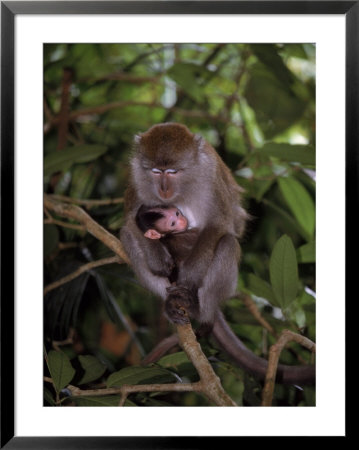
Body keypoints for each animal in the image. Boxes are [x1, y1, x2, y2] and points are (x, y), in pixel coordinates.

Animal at [121, 123, 316, 384]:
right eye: (154, 171)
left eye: (172, 172)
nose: (163, 190)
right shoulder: (136, 177)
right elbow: (131, 220)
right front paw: (157, 258)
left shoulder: (211, 175)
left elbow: (219, 225)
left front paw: (189, 276)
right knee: (126, 235)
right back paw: (171, 304)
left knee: (227, 244)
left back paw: (200, 312)